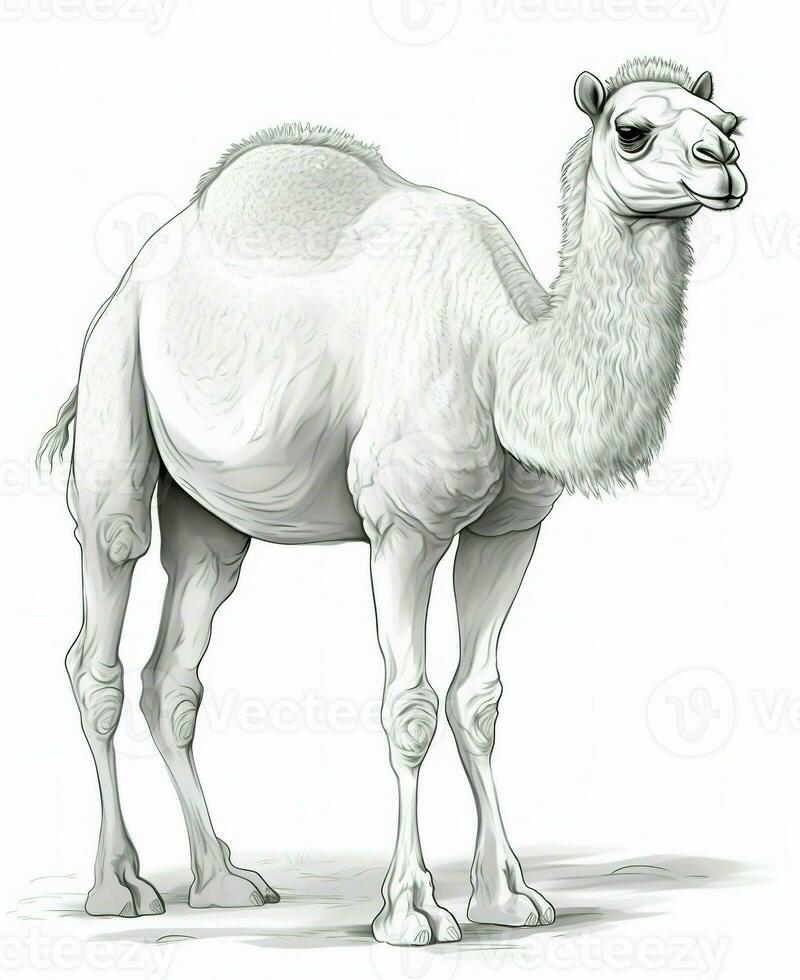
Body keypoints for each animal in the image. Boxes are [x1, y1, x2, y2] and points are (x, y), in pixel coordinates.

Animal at [38, 56, 746, 946]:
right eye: (632, 130)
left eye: (729, 120)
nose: (724, 164)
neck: (503, 354)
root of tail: (134, 275)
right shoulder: (404, 528)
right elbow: (408, 706)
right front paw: (411, 911)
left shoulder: (510, 531)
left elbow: (477, 702)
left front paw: (508, 898)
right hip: (113, 389)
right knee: (99, 632)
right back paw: (121, 886)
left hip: (212, 516)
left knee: (175, 670)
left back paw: (225, 880)